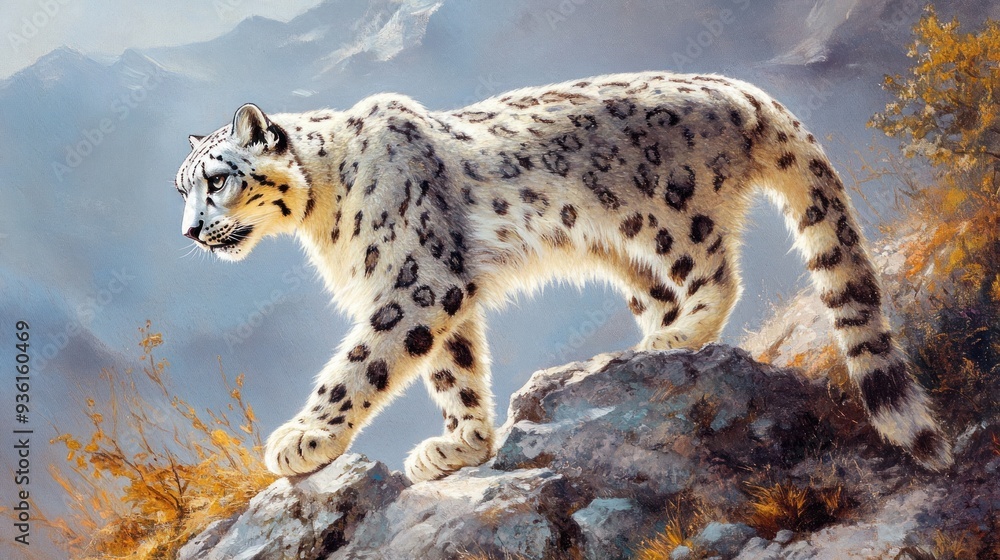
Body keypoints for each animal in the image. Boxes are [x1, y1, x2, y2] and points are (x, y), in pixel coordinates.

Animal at [174, 71, 952, 481]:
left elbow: (363, 361)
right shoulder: (442, 292)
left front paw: (303, 438)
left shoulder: (417, 278)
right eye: (181, 187)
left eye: (216, 179)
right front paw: (461, 444)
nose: (188, 232)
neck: (323, 218)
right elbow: (453, 370)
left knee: (715, 272)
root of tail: (741, 89)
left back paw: (674, 339)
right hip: (631, 258)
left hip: (668, 216)